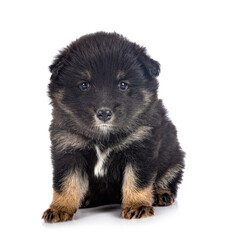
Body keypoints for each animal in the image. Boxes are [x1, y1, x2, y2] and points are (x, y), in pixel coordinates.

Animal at [42, 31, 185, 223]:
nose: (104, 113)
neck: (103, 136)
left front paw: (137, 205)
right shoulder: (68, 149)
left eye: (122, 84)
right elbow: (66, 183)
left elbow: (137, 180)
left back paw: (161, 193)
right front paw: (60, 208)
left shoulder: (141, 147)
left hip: (174, 157)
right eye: (84, 85)